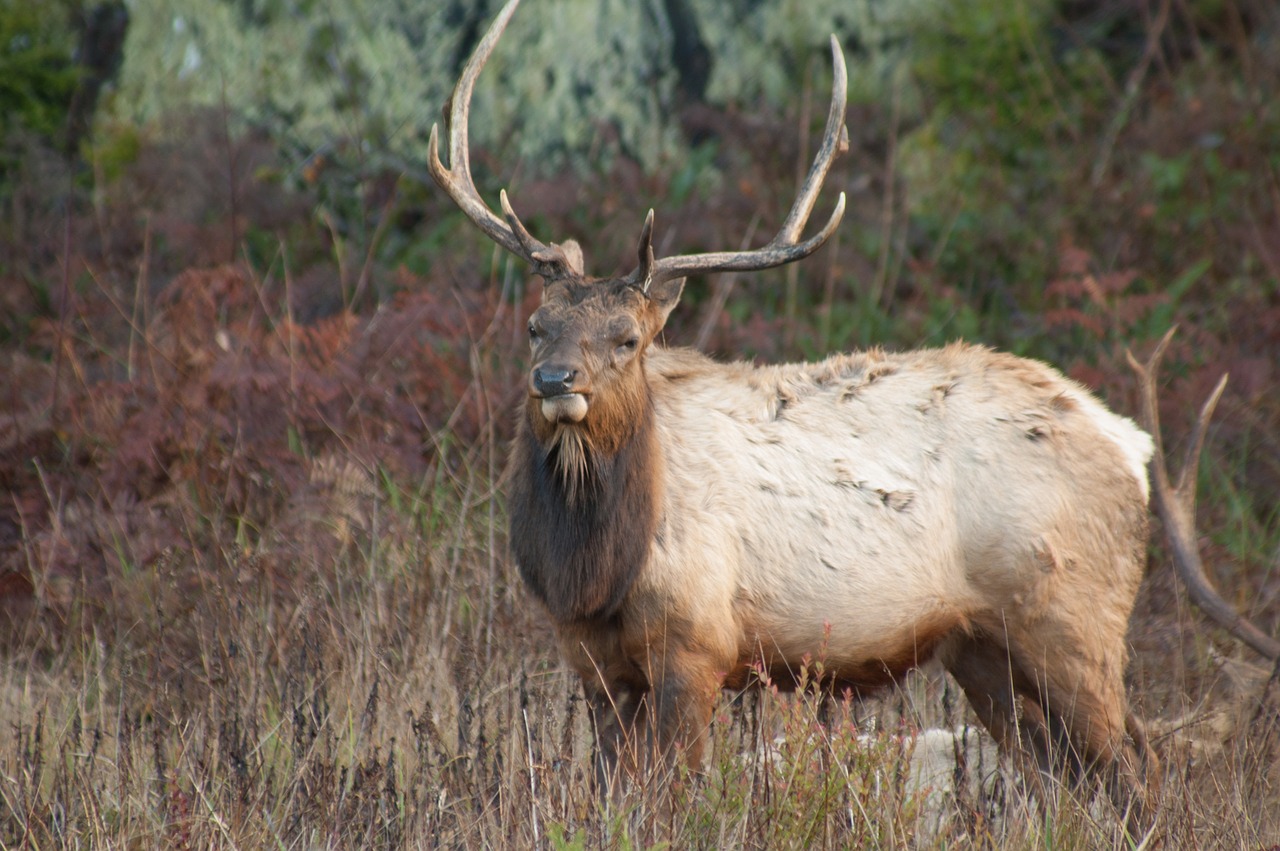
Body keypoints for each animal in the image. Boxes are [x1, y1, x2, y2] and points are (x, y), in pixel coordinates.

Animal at [424, 0, 1274, 819]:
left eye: (628, 337)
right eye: (535, 324)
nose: (554, 378)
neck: (591, 571)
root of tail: (1131, 445)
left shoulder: (695, 643)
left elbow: (670, 800)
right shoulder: (593, 663)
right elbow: (609, 797)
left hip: (1076, 615)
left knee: (1136, 766)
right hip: (982, 648)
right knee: (1062, 771)